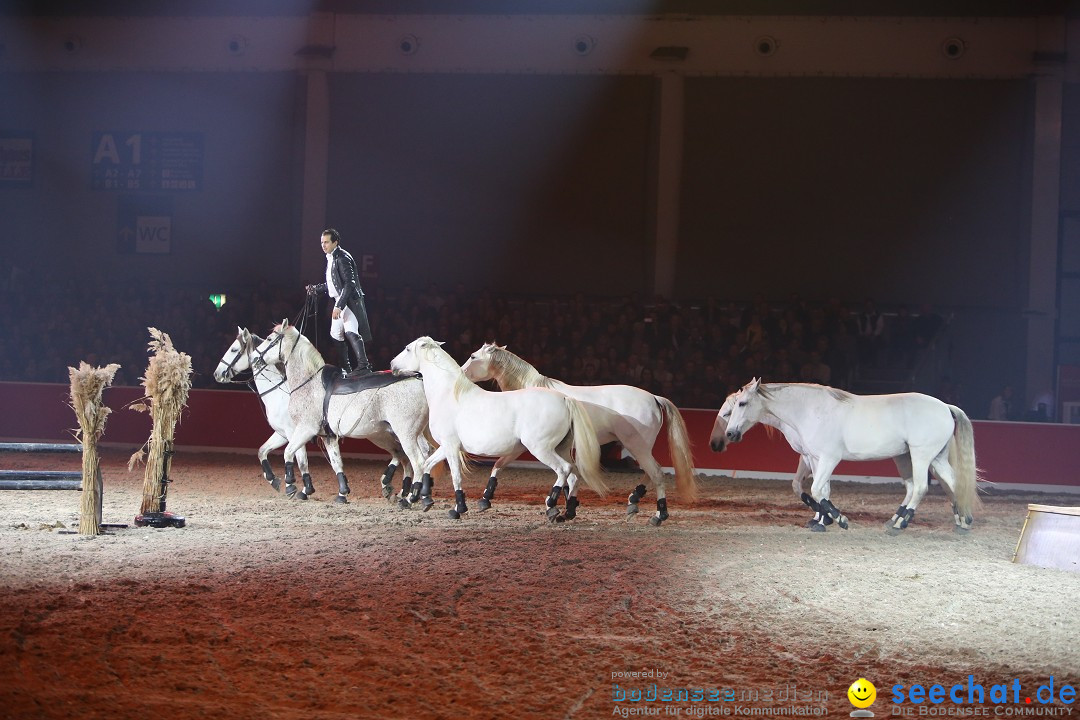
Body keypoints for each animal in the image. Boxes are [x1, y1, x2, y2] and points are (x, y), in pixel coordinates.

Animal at [210, 328, 416, 500]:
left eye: (234, 349)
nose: (217, 374)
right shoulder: (283, 434)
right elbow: (262, 451)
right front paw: (275, 480)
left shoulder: (297, 433)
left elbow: (300, 460)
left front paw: (296, 487)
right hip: (380, 433)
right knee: (401, 455)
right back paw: (395, 487)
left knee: (406, 454)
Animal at [254, 323, 432, 505]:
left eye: (269, 339)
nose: (255, 358)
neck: (309, 383)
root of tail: (419, 379)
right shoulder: (328, 436)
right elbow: (336, 463)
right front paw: (342, 493)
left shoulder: (305, 429)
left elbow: (289, 453)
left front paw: (290, 485)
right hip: (402, 433)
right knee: (423, 454)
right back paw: (421, 495)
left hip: (405, 434)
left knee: (418, 461)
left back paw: (410, 498)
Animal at [390, 334, 609, 520]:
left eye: (407, 348)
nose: (392, 365)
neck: (450, 395)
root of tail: (565, 399)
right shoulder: (446, 446)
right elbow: (427, 465)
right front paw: (424, 498)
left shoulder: (451, 447)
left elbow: (456, 477)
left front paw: (457, 509)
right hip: (560, 448)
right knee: (573, 475)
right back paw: (567, 512)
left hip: (541, 449)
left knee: (563, 470)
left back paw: (551, 507)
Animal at [460, 341, 695, 526]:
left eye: (472, 356)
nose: (461, 373)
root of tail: (654, 398)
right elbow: (570, 477)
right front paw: (568, 508)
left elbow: (504, 465)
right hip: (641, 448)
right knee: (651, 472)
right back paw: (634, 501)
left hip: (637, 446)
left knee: (656, 473)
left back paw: (658, 515)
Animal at [717, 379, 980, 533]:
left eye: (741, 404)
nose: (729, 434)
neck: (811, 410)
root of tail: (945, 406)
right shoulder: (815, 459)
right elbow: (821, 490)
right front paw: (821, 521)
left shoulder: (829, 459)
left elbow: (816, 490)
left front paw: (839, 519)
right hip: (933, 458)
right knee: (953, 483)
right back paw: (963, 522)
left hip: (921, 456)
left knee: (920, 487)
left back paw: (900, 523)